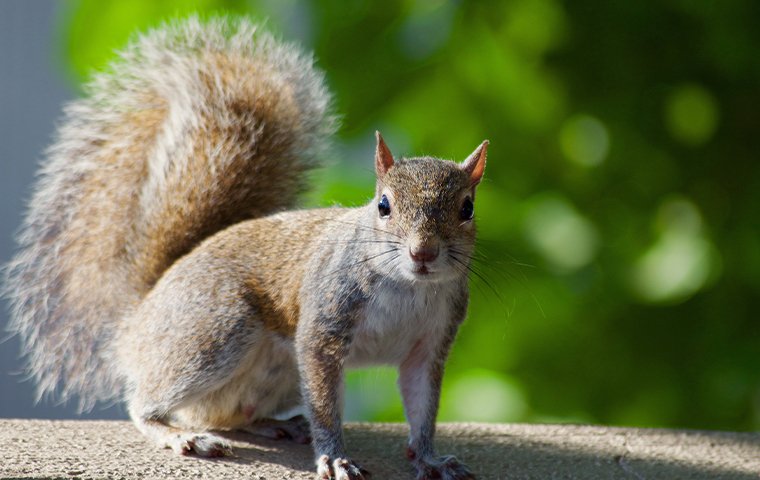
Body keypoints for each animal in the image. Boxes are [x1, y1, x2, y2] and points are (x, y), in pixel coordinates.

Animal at [4, 15, 486, 480]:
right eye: (383, 205)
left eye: (467, 208)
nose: (423, 253)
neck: (408, 287)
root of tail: (137, 318)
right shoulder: (324, 325)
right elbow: (326, 406)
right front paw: (334, 457)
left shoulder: (430, 345)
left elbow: (422, 408)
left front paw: (430, 458)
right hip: (214, 331)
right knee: (147, 404)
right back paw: (179, 435)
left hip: (275, 374)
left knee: (229, 413)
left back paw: (276, 424)